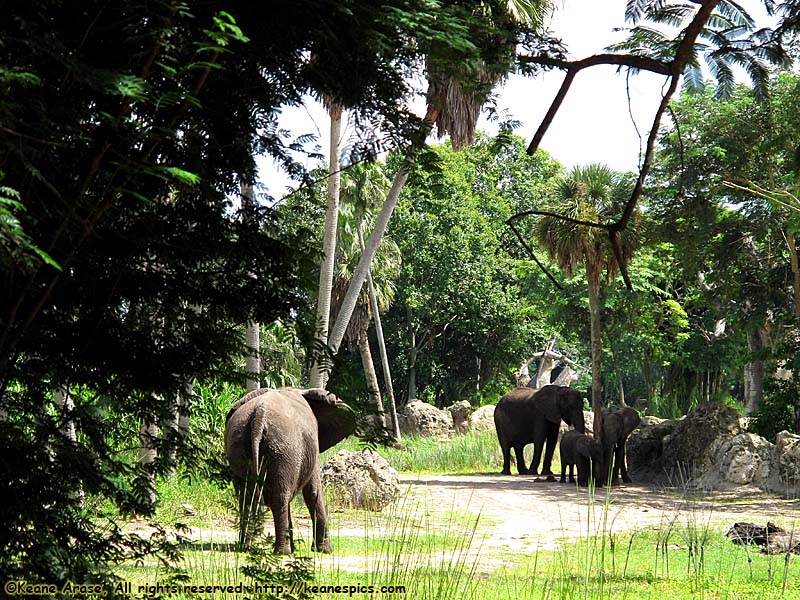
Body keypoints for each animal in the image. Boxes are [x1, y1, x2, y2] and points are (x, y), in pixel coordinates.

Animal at [222, 390, 354, 552]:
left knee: (246, 496)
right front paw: (325, 551)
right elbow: (314, 491)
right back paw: (282, 552)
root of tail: (258, 417)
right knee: (280, 497)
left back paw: (245, 547)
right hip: (284, 450)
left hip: (238, 444)